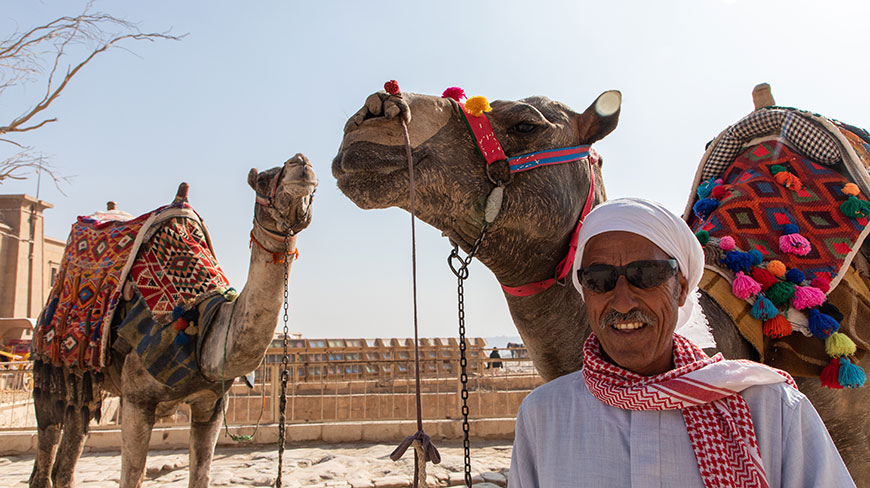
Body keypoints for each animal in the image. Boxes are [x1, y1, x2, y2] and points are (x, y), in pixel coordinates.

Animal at [29, 154, 317, 488]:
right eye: (262, 180)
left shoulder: (211, 403)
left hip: (88, 380)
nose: (301, 163)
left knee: (72, 443)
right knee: (48, 438)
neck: (203, 326)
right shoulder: (137, 400)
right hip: (51, 363)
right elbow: (133, 477)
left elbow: (201, 475)